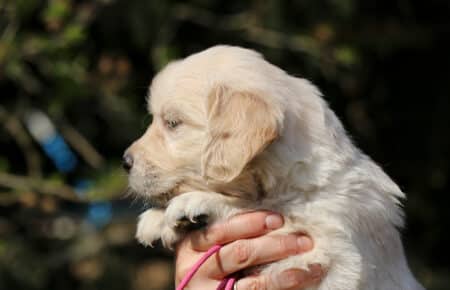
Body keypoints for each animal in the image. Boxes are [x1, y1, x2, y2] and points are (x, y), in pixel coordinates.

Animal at [124, 46, 426, 290]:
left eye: (173, 123)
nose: (125, 161)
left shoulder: (332, 255)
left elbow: (271, 213)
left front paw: (198, 203)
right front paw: (158, 220)